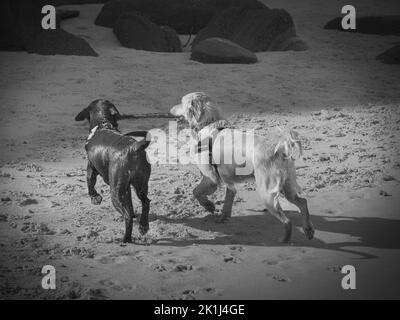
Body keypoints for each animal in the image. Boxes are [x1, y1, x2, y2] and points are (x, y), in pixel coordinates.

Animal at [76, 100, 151, 242]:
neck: (103, 123)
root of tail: (133, 147)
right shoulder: (127, 188)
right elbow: (130, 202)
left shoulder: (91, 167)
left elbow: (90, 183)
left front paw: (95, 198)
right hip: (140, 185)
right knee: (146, 202)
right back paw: (143, 226)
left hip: (115, 191)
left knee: (127, 216)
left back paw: (126, 239)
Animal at [170, 92, 314, 242]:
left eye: (181, 102)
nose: (170, 109)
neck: (209, 123)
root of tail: (280, 150)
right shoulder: (227, 181)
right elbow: (228, 198)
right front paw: (223, 217)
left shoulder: (211, 179)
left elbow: (196, 192)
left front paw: (209, 206)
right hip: (287, 188)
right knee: (303, 203)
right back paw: (308, 230)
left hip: (267, 193)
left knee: (287, 220)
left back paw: (284, 240)